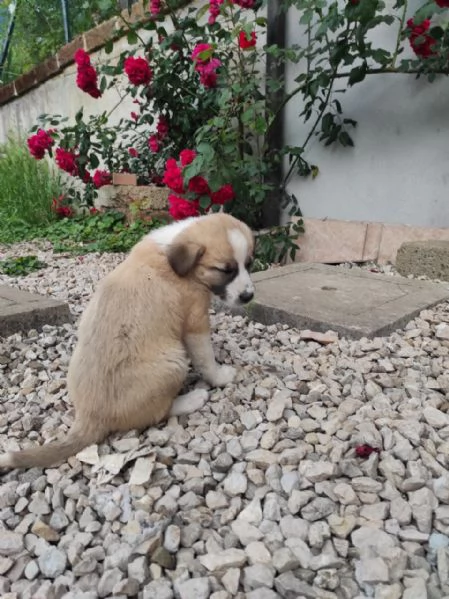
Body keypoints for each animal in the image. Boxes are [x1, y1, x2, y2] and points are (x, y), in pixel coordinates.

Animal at [0, 213, 254, 472]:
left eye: (249, 264)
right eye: (225, 270)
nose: (248, 297)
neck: (174, 255)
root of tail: (89, 416)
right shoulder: (195, 320)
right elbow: (205, 359)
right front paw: (221, 376)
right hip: (173, 362)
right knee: (158, 413)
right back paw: (192, 399)